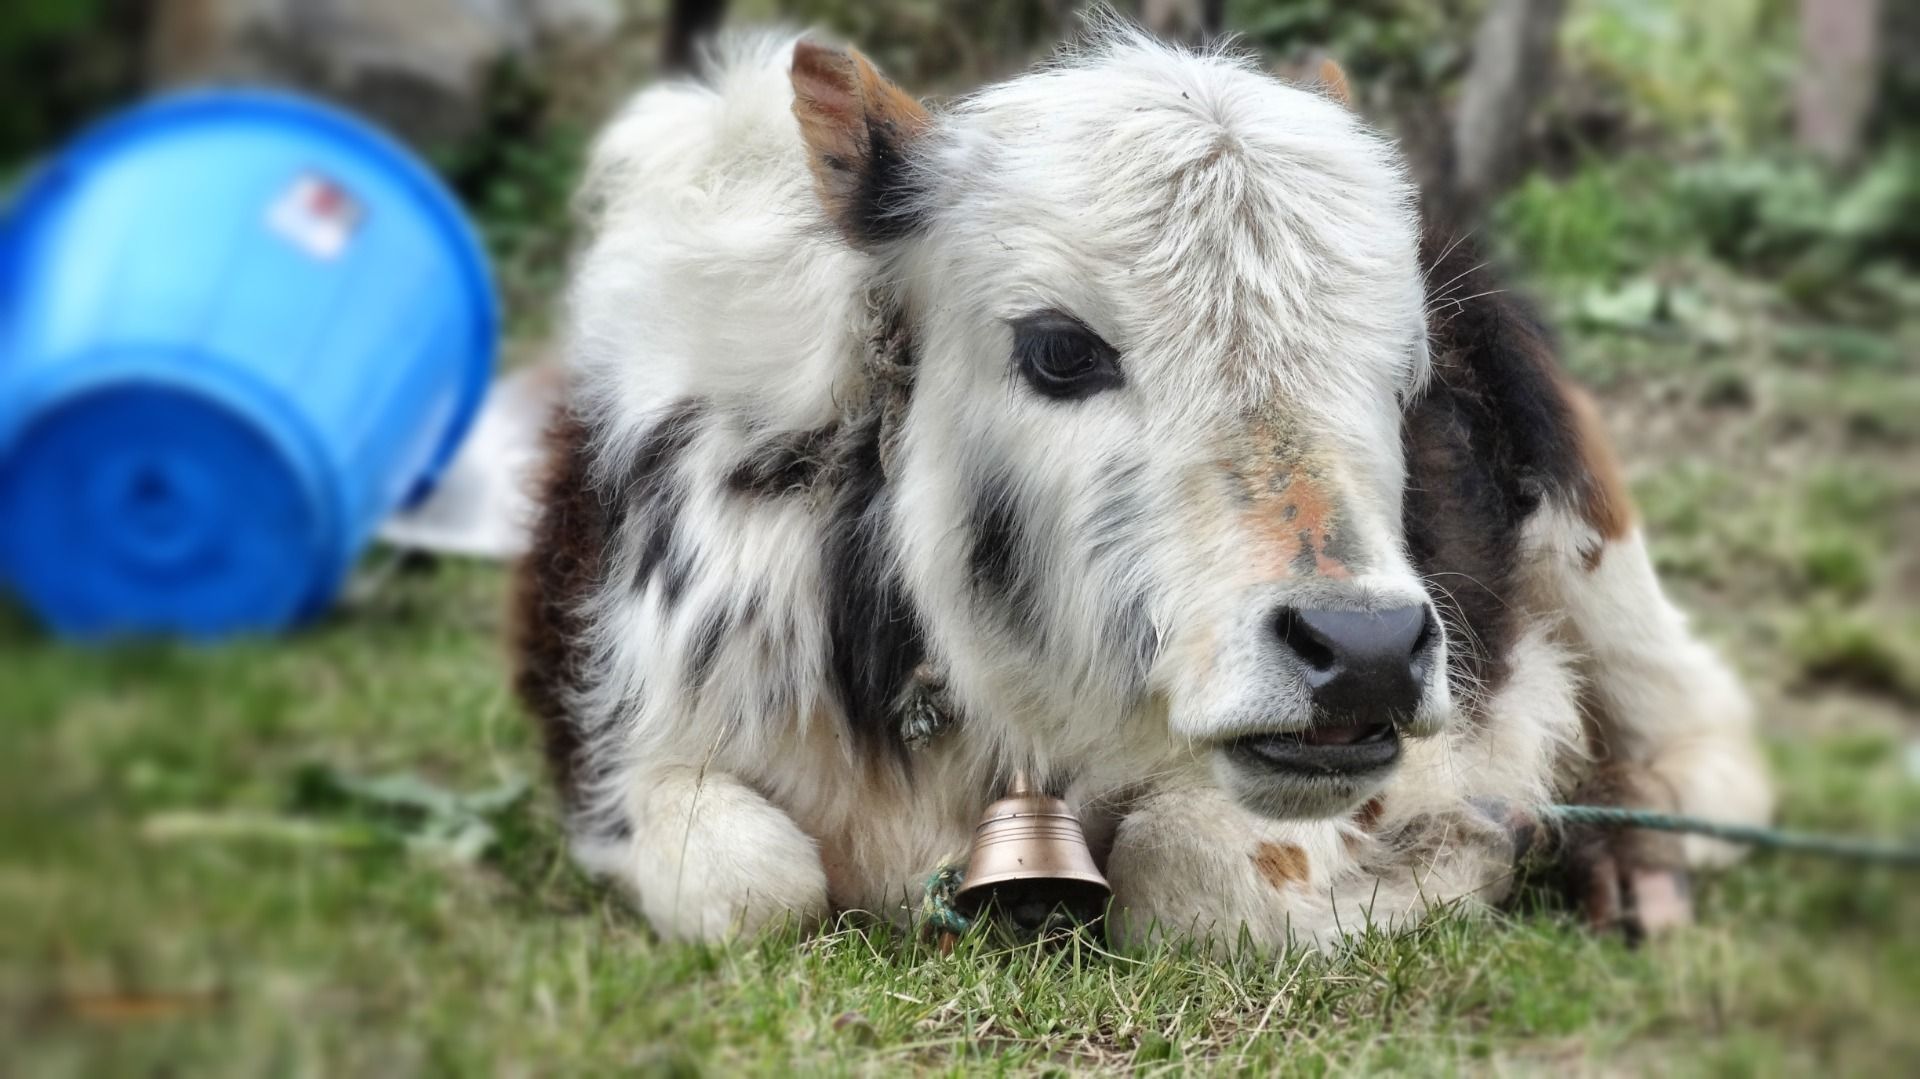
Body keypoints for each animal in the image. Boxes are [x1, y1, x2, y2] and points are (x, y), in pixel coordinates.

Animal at [511, 26, 1771, 947]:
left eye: (1406, 370)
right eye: (1061, 349)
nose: (1363, 651)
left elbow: (1191, 872)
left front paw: (1465, 851)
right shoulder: (619, 747)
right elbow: (751, 886)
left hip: (1589, 529)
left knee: (1703, 737)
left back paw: (1641, 860)